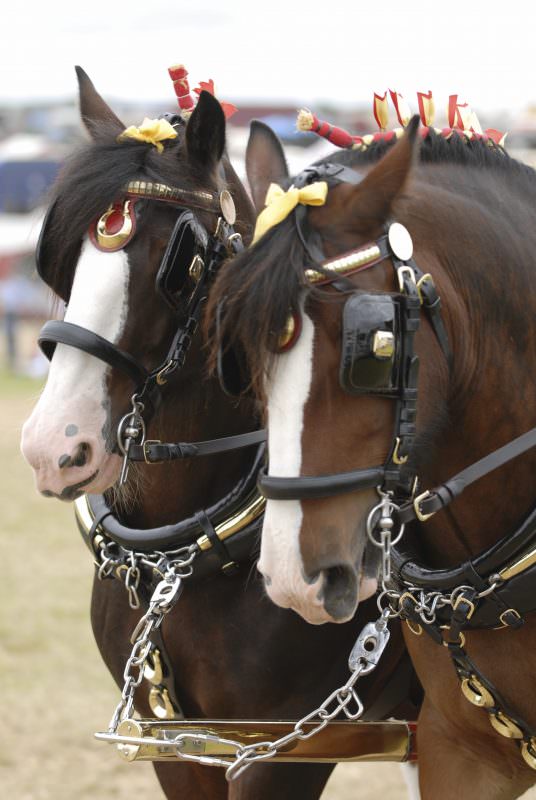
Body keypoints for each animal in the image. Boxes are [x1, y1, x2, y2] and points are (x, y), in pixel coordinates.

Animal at [21, 70, 420, 800]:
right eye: (62, 260)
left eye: (179, 261)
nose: (51, 446)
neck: (186, 568)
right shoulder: (175, 745)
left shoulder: (283, 750)